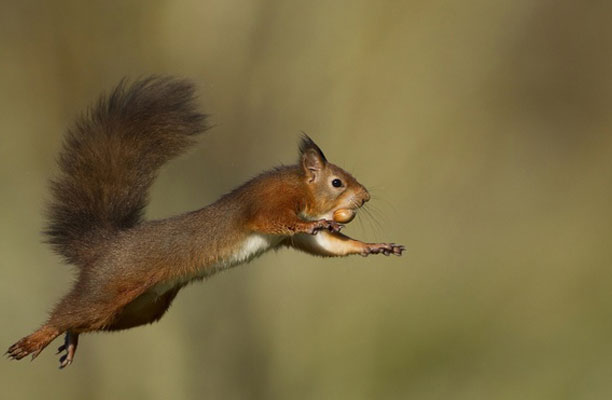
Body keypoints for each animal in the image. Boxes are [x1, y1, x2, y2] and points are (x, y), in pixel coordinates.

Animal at [7, 76, 406, 368]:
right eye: (338, 182)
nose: (365, 197)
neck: (300, 190)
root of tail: (106, 245)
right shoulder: (267, 202)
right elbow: (276, 222)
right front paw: (310, 224)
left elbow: (327, 245)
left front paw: (374, 246)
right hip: (110, 287)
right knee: (70, 312)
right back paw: (35, 339)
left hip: (140, 309)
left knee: (81, 323)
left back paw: (70, 341)